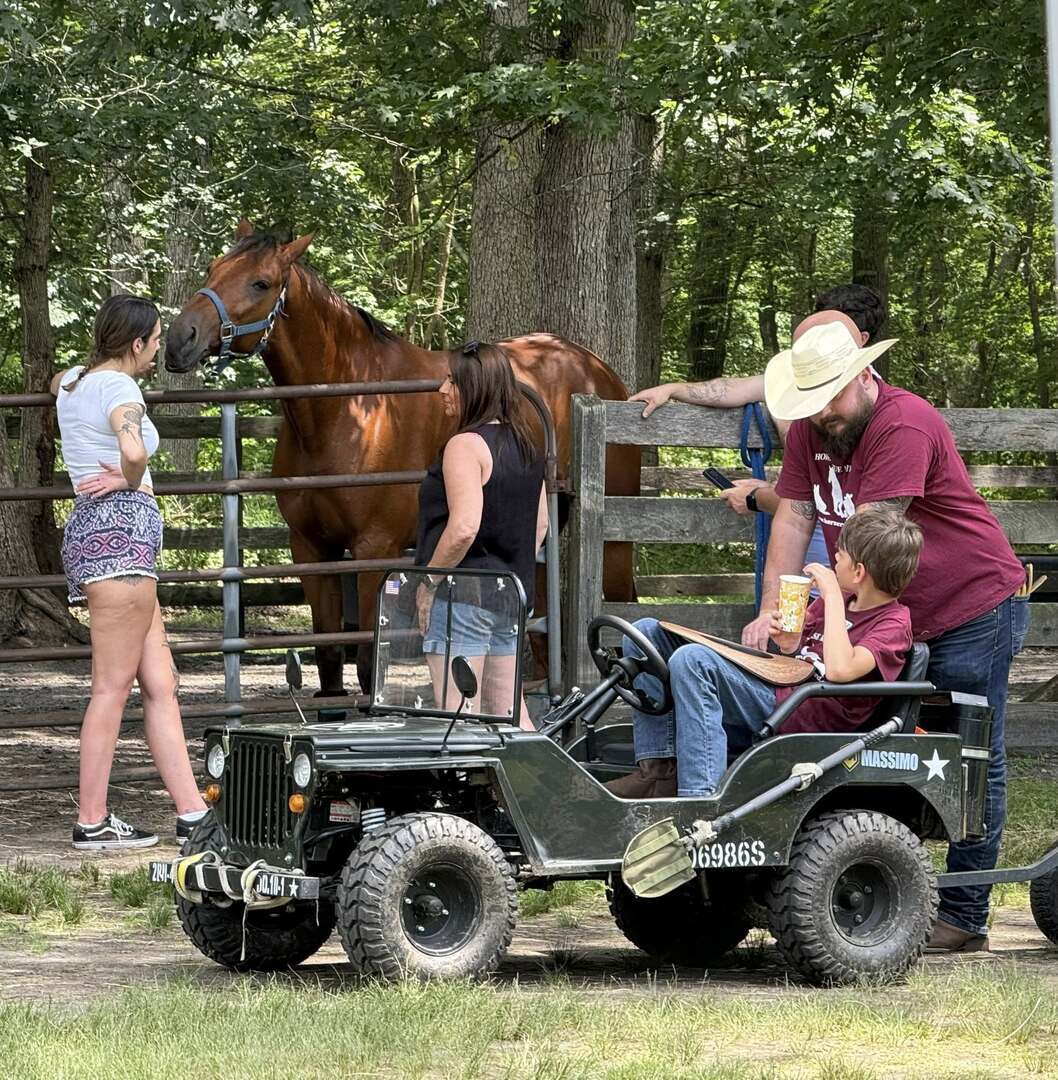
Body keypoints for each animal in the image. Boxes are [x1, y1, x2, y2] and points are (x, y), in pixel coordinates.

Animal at [165, 221, 639, 697]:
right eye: (213, 268)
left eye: (260, 283)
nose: (179, 338)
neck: (348, 408)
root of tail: (597, 374)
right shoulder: (312, 549)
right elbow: (330, 659)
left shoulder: (375, 550)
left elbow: (367, 664)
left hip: (613, 545)